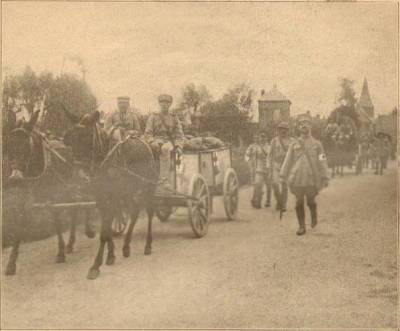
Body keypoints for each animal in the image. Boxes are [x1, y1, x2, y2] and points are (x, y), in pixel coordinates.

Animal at [3, 110, 95, 276]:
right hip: (69, 188)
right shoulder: (24, 197)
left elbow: (56, 219)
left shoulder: (54, 196)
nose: (15, 178)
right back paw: (71, 243)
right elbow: (20, 221)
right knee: (74, 209)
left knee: (87, 202)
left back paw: (88, 229)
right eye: (10, 146)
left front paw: (60, 253)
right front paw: (11, 262)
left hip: (82, 182)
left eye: (27, 146)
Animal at [63, 108, 158, 280]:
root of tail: (149, 145)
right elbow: (107, 229)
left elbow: (105, 231)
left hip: (148, 187)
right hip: (128, 191)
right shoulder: (101, 198)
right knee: (134, 211)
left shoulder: (113, 197)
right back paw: (126, 246)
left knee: (149, 212)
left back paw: (148, 244)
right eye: (71, 139)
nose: (80, 176)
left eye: (87, 137)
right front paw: (111, 255)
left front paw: (95, 265)